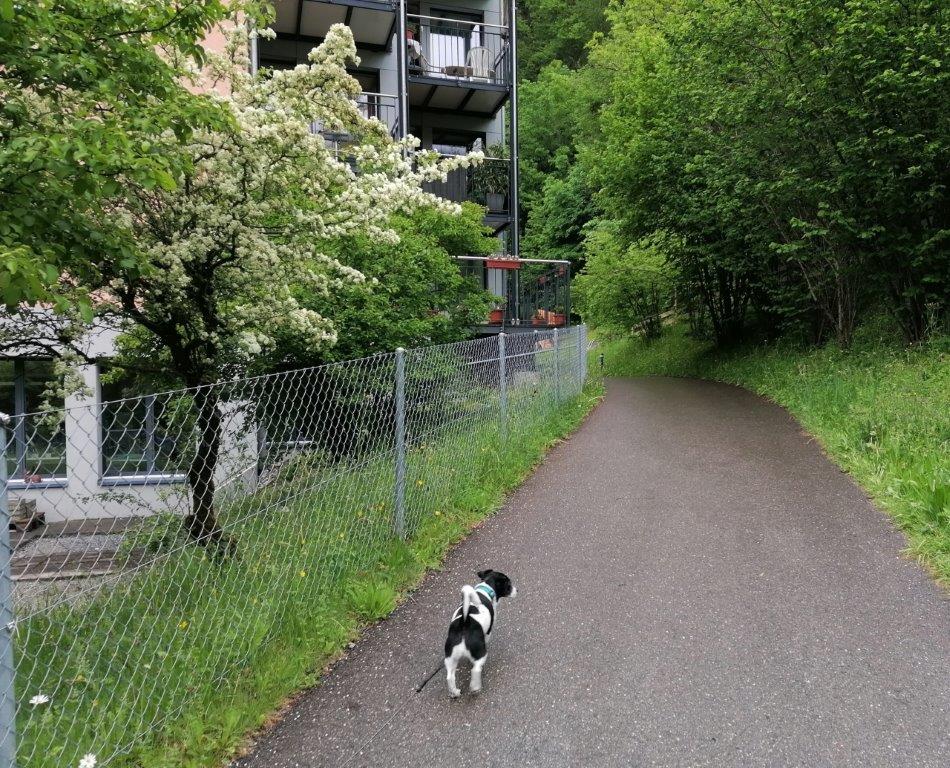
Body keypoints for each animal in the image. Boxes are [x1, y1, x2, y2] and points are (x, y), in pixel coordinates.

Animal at [444, 569, 516, 697]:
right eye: (508, 585)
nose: (517, 590)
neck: (486, 588)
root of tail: (465, 622)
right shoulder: (488, 632)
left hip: (450, 658)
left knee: (450, 676)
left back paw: (455, 692)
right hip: (480, 653)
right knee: (476, 669)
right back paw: (475, 687)